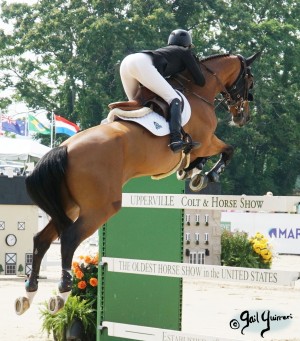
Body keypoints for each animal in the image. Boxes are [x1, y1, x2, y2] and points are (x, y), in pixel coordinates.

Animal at [14, 50, 260, 314]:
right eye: (249, 81)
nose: (243, 117)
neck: (198, 92)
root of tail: (64, 148)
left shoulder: (202, 145)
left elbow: (206, 157)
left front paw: (193, 173)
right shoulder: (206, 141)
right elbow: (228, 149)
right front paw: (206, 175)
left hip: (70, 206)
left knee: (42, 239)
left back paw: (28, 292)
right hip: (101, 208)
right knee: (69, 239)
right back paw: (62, 292)